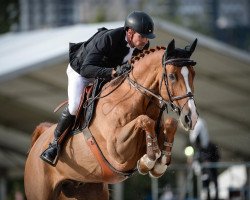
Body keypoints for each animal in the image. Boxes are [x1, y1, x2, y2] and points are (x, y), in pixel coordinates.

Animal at [23, 38, 199, 199]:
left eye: (193, 74)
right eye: (172, 76)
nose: (191, 118)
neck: (133, 99)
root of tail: (40, 138)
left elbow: (170, 123)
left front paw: (158, 163)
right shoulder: (117, 150)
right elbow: (144, 120)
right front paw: (148, 161)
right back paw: (50, 151)